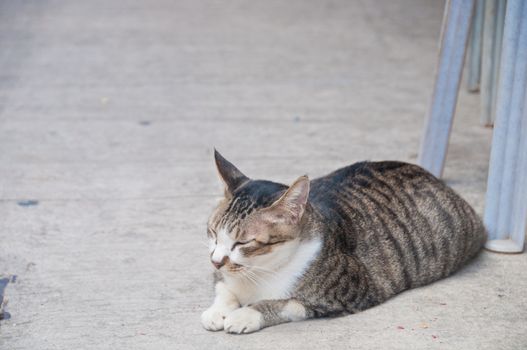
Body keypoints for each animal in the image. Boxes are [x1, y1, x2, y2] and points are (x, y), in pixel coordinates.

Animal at [201, 150, 486, 334]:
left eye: (242, 243)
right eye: (213, 232)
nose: (215, 261)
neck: (259, 272)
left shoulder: (350, 292)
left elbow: (285, 303)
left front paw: (246, 314)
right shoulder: (222, 273)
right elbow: (223, 288)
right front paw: (218, 310)